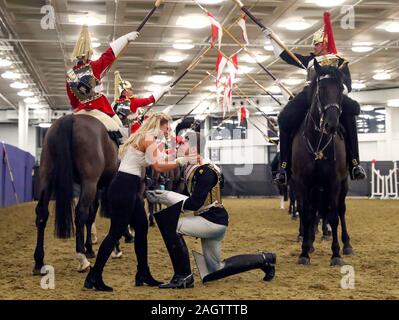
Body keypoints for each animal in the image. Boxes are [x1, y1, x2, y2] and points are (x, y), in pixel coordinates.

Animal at [33, 115, 118, 276]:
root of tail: (71, 118)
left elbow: (92, 216)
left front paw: (90, 248)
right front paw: (117, 247)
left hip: (47, 176)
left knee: (42, 212)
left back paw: (39, 262)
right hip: (89, 182)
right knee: (80, 213)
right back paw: (82, 259)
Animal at [290, 59, 354, 264]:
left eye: (341, 88)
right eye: (321, 88)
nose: (331, 125)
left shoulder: (333, 181)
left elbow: (333, 216)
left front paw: (336, 254)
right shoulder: (302, 182)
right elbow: (306, 213)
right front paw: (304, 251)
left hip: (343, 184)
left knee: (340, 210)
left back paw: (347, 245)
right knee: (313, 211)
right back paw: (310, 242)